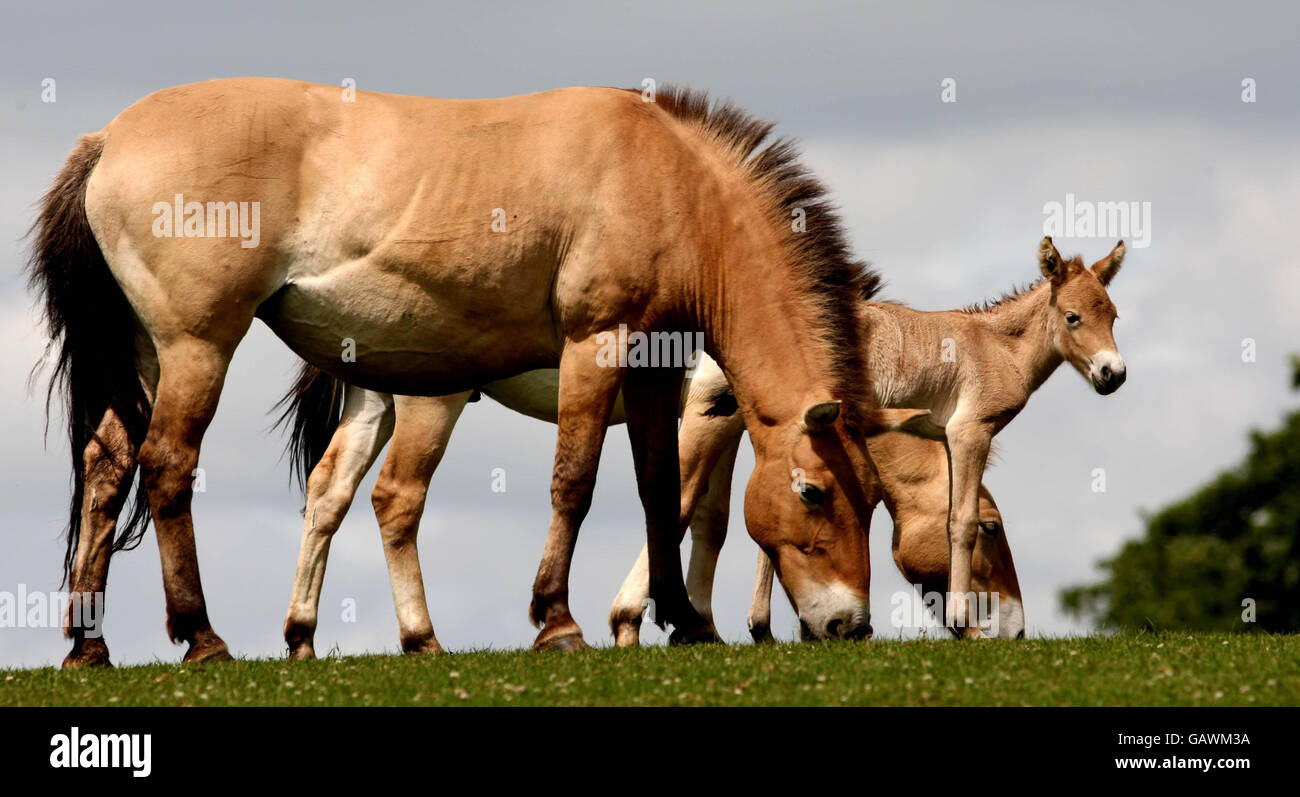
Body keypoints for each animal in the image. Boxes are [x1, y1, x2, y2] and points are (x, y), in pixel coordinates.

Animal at [25, 80, 930, 665]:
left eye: (873, 498)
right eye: (813, 491)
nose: (849, 623)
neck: (672, 182)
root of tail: (107, 138)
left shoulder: (652, 369)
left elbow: (655, 490)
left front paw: (680, 618)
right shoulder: (598, 347)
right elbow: (578, 481)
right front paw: (560, 619)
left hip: (146, 355)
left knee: (108, 468)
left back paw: (92, 644)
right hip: (199, 346)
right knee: (169, 467)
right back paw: (204, 635)